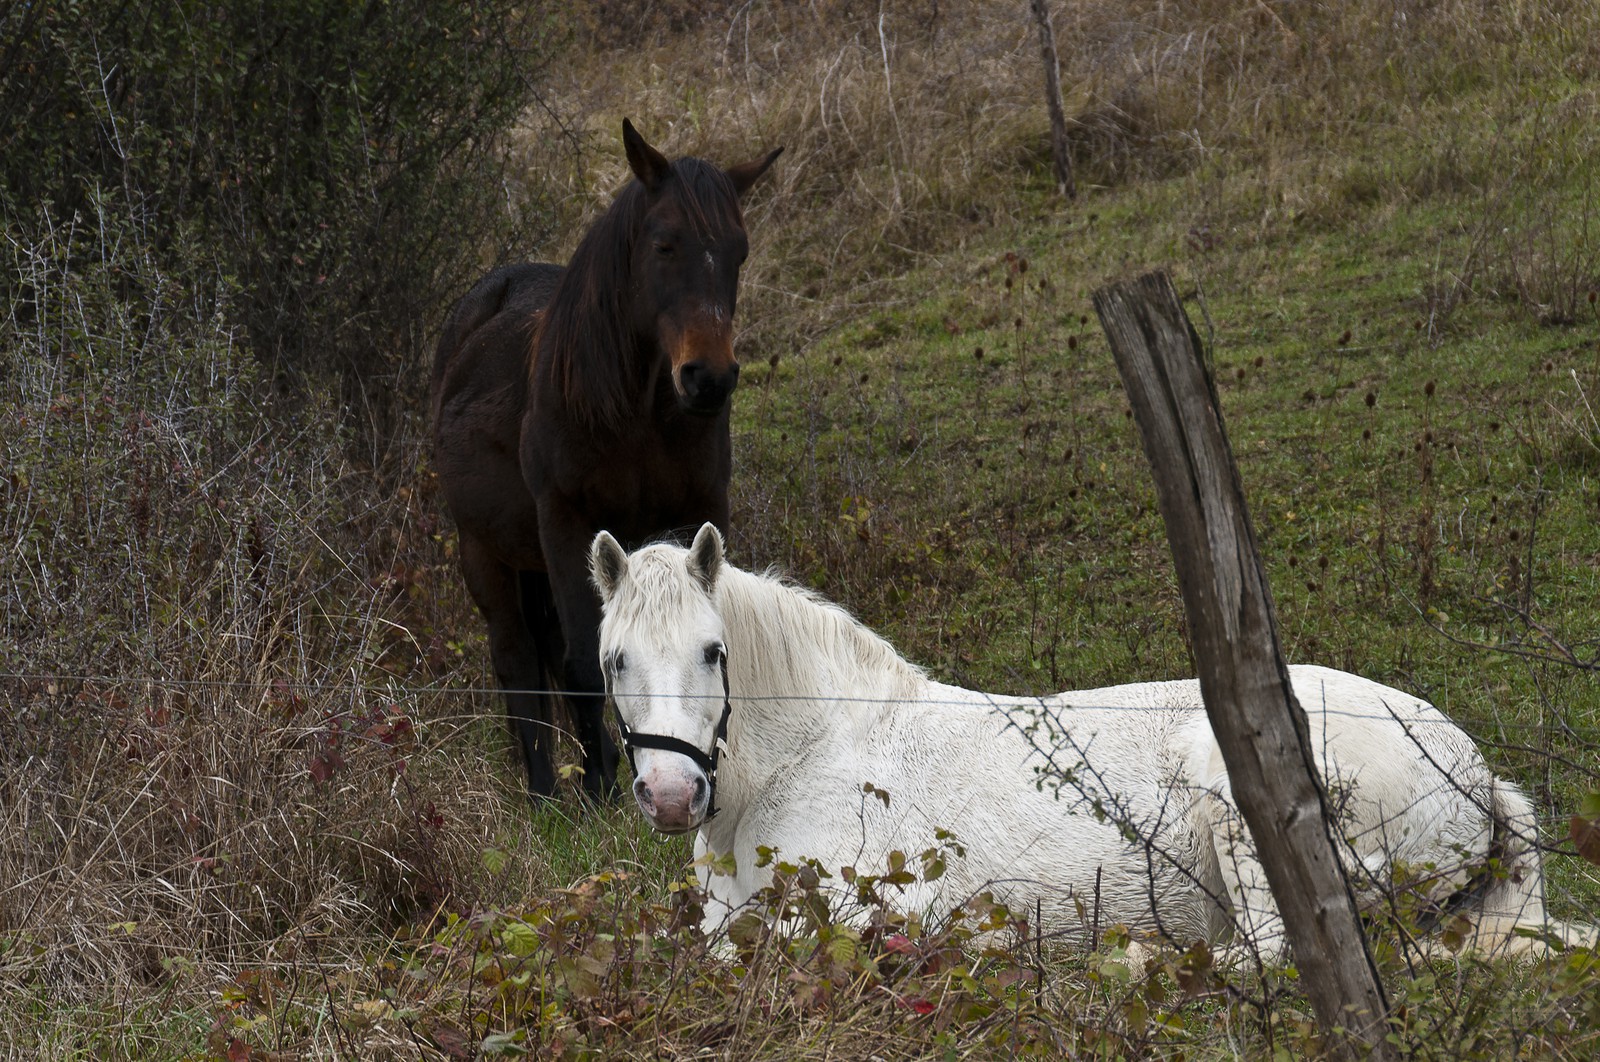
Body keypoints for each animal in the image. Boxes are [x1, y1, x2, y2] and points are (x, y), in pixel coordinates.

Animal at [431, 121, 781, 801]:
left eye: (740, 252)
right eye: (665, 244)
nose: (709, 379)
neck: (635, 415)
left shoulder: (700, 511)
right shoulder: (569, 526)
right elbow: (584, 664)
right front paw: (599, 791)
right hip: (483, 551)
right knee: (517, 658)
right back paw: (544, 791)